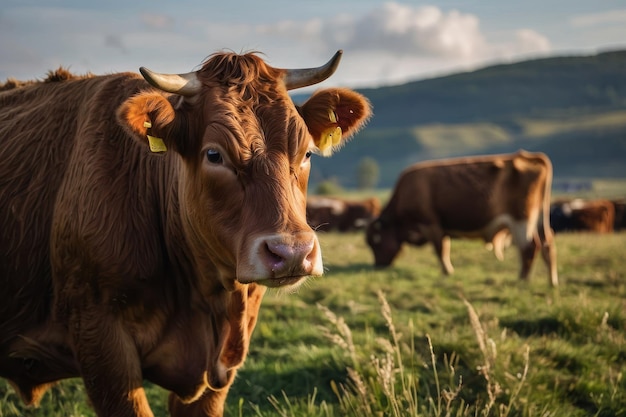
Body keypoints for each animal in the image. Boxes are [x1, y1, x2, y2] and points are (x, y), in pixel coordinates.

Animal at [364, 150, 560, 286]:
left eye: (376, 241)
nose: (377, 266)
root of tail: (528, 157)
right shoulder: (442, 228)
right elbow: (445, 248)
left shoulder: (431, 225)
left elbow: (440, 250)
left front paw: (447, 272)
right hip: (539, 220)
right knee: (547, 246)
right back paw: (552, 281)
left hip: (522, 221)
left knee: (529, 248)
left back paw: (522, 279)